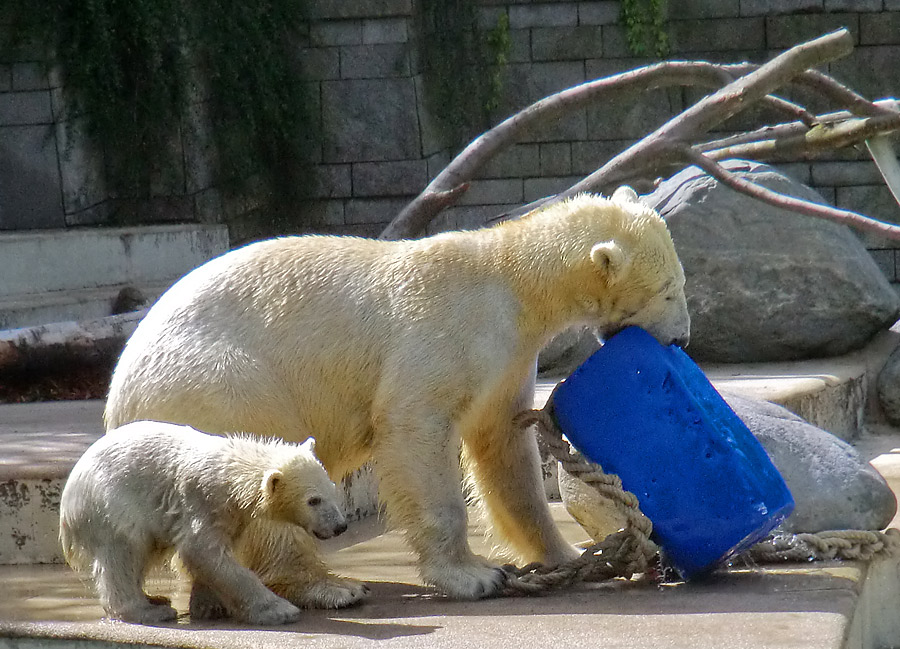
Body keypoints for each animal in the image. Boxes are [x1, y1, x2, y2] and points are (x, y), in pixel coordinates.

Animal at [109, 186, 692, 596]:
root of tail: (119, 402)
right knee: (264, 462)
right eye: (670, 291)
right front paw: (473, 575)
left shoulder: (509, 359)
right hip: (217, 382)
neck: (512, 280)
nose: (682, 338)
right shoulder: (447, 326)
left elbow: (505, 448)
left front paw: (566, 555)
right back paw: (329, 585)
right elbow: (416, 425)